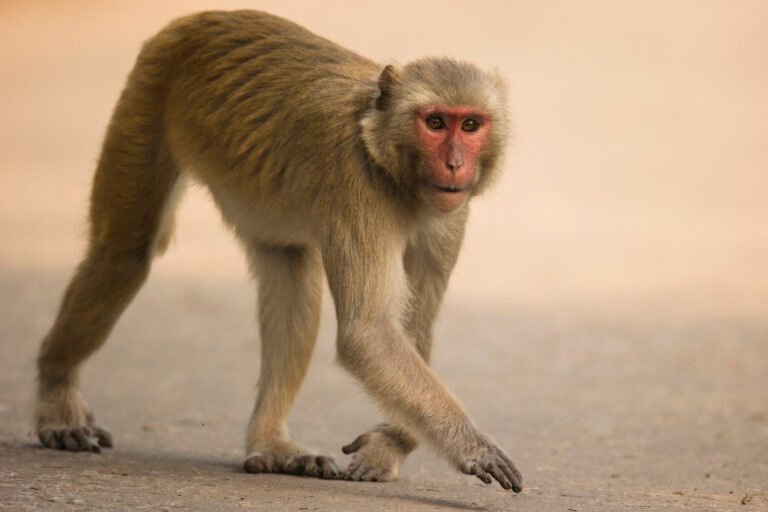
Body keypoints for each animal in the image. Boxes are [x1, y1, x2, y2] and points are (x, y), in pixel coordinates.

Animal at [34, 10, 522, 493]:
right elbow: (369, 333)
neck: (386, 159)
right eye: (435, 122)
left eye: (471, 124)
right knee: (123, 256)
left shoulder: (449, 216)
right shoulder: (357, 187)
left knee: (291, 271)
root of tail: (195, 18)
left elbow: (409, 330)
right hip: (147, 96)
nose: (456, 164)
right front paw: (472, 446)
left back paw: (270, 445)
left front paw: (391, 444)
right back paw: (57, 396)